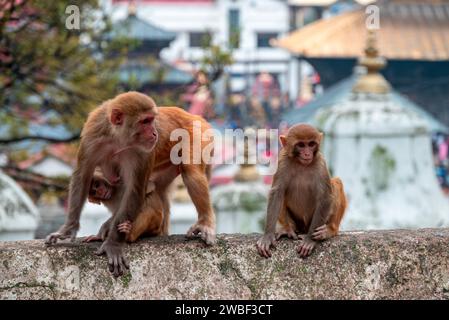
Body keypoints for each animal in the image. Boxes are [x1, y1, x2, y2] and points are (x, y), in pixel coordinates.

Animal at [256, 124, 346, 258]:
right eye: (301, 145)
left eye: (311, 144)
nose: (307, 153)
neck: (301, 164)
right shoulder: (283, 160)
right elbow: (277, 192)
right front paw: (267, 236)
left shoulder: (320, 162)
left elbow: (325, 197)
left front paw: (309, 240)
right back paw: (288, 228)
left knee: (336, 183)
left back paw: (329, 230)